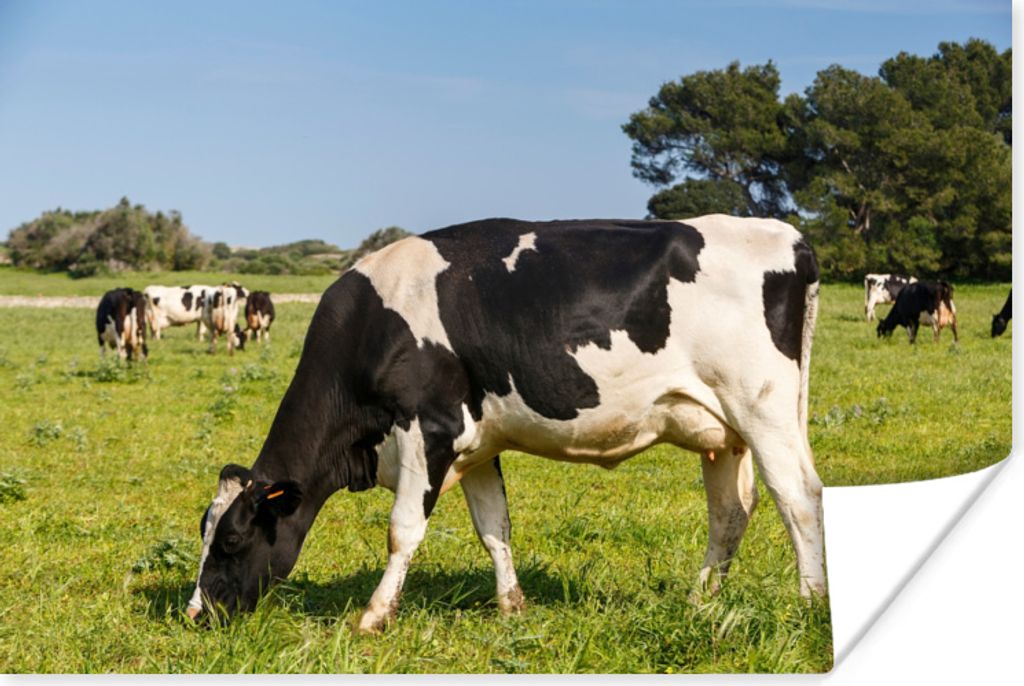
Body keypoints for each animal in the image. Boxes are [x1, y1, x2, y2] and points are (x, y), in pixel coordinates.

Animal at [186, 215, 826, 633]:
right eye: (204, 530)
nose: (195, 613)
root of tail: (788, 235)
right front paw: (512, 606)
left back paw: (810, 602)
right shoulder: (476, 444)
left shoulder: (430, 429)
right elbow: (494, 526)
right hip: (722, 433)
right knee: (731, 512)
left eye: (233, 539)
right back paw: (701, 601)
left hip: (763, 408)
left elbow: (403, 530)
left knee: (799, 497)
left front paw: (372, 617)